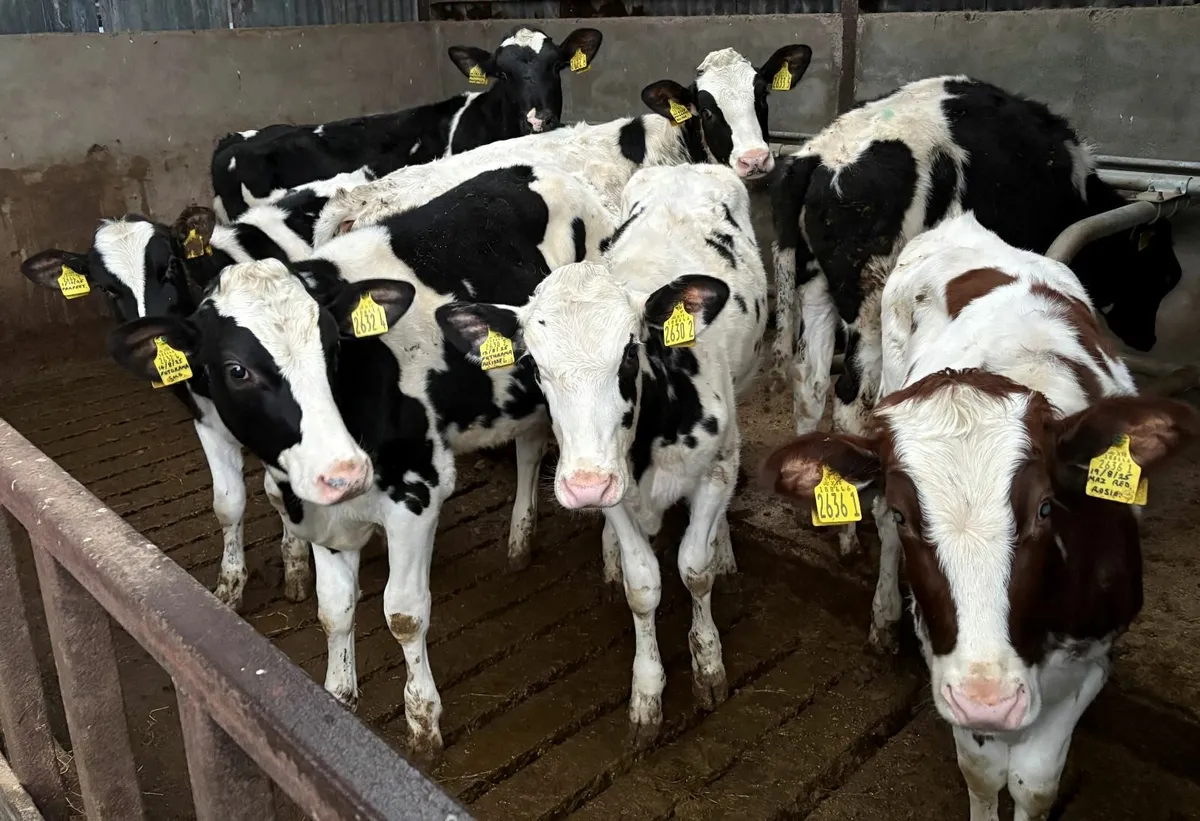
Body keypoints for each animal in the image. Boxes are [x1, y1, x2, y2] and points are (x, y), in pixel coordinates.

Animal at [19, 216, 312, 612]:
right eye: (105, 287)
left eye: (171, 264)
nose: (153, 345)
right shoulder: (205, 420)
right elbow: (227, 503)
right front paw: (230, 586)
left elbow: (277, 492)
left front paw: (296, 565)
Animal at [103, 163, 615, 761]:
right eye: (235, 369)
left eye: (333, 345)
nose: (343, 471)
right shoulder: (321, 512)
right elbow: (334, 608)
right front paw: (338, 695)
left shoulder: (419, 493)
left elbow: (404, 613)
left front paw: (423, 720)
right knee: (532, 446)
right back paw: (519, 539)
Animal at [437, 164, 768, 747]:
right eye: (533, 363)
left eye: (631, 351)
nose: (586, 485)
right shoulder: (611, 485)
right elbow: (643, 585)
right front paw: (647, 692)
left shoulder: (715, 467)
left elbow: (695, 568)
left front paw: (708, 665)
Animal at [762, 212, 1198, 821]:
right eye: (906, 515)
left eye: (1045, 508)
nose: (986, 698)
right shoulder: (945, 659)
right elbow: (984, 773)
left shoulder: (1092, 657)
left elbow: (1034, 783)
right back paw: (883, 616)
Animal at [769, 75, 1183, 564]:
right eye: (1165, 273)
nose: (1149, 338)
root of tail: (817, 156)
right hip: (867, 302)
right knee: (849, 400)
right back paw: (851, 534)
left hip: (815, 286)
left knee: (810, 383)